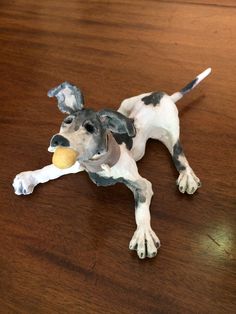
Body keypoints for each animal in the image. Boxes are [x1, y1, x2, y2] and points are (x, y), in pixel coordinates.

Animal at [12, 68, 211, 260]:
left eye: (90, 128)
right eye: (67, 121)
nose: (58, 140)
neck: (99, 162)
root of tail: (165, 96)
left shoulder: (142, 184)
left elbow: (141, 209)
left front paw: (144, 235)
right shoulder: (79, 162)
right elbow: (50, 170)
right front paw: (28, 178)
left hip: (172, 132)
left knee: (178, 153)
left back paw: (186, 175)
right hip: (126, 104)